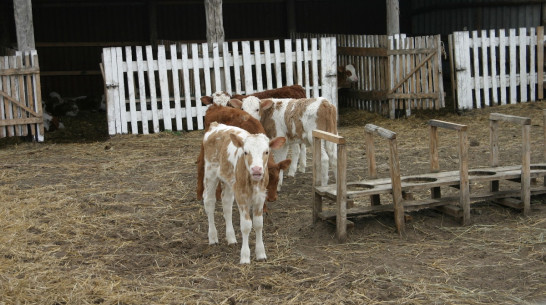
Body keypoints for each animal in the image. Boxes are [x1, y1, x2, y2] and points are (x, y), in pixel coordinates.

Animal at [201, 122, 284, 262]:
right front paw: (245, 256)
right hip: (210, 173)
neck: (253, 182)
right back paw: (213, 237)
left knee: (226, 204)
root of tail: (216, 126)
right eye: (245, 152)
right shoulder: (242, 196)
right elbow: (246, 225)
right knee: (209, 202)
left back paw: (231, 238)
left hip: (229, 181)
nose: (256, 169)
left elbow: (258, 224)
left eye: (266, 151)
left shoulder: (260, 197)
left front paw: (261, 253)